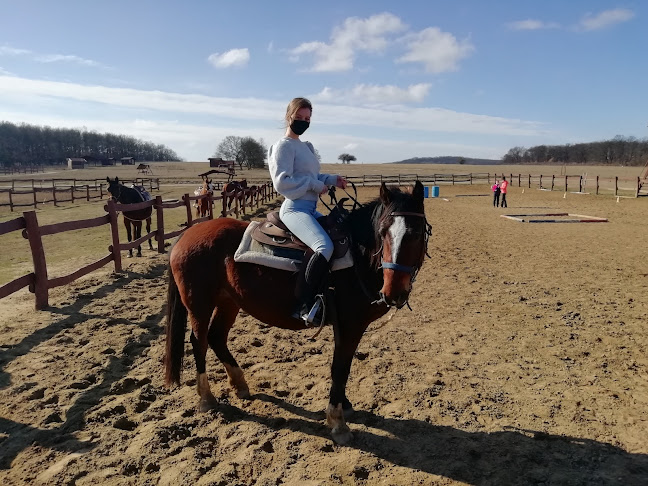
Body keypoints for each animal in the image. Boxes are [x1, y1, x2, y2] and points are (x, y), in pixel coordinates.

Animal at [165, 180, 432, 442]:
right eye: (382, 232)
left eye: (417, 233)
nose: (393, 292)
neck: (359, 256)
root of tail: (186, 235)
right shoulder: (350, 325)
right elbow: (340, 368)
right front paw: (338, 421)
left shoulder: (343, 325)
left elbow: (341, 366)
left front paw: (343, 406)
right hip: (199, 304)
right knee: (199, 341)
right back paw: (206, 398)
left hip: (229, 302)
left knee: (217, 337)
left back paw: (239, 384)